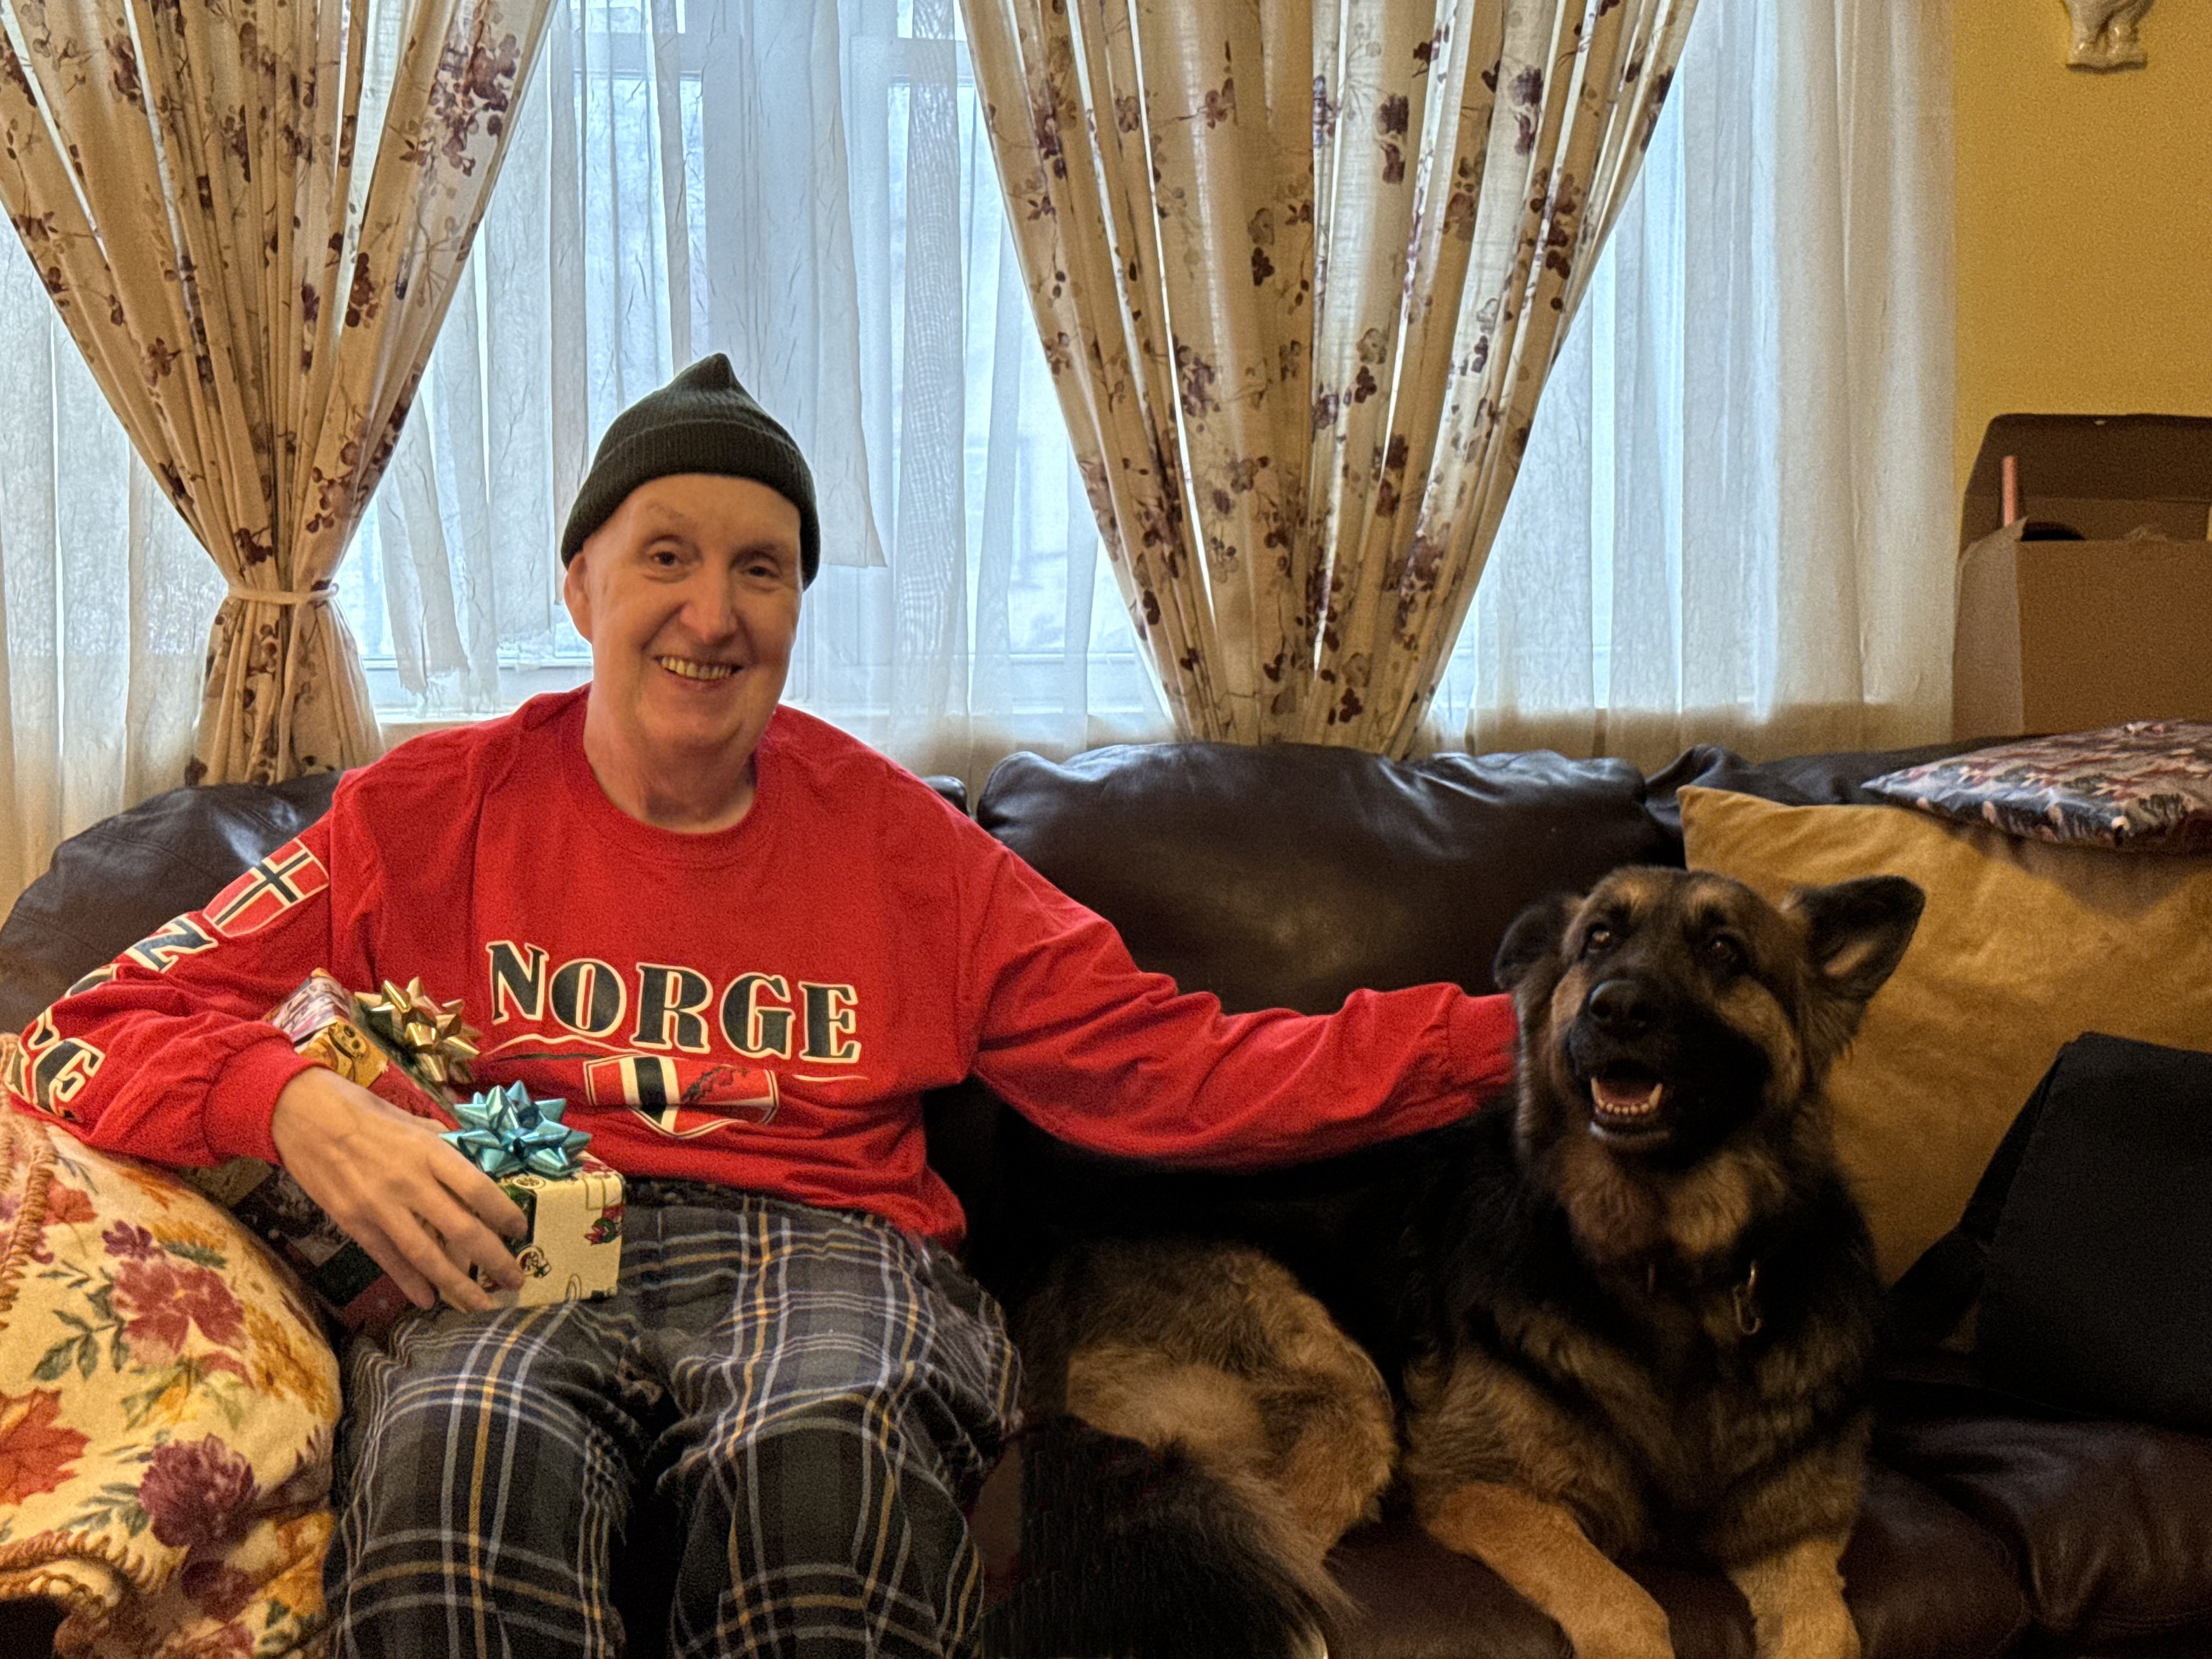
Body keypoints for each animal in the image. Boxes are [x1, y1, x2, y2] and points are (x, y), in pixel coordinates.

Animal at [983, 867, 1923, 1659]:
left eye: (1726, 952)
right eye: (1597, 941)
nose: (1615, 1010)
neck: (1664, 1266)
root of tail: (1042, 1288)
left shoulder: (1796, 1533)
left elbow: (1830, 1630)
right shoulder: (1481, 1488)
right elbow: (1631, 1608)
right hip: (1346, 1399)